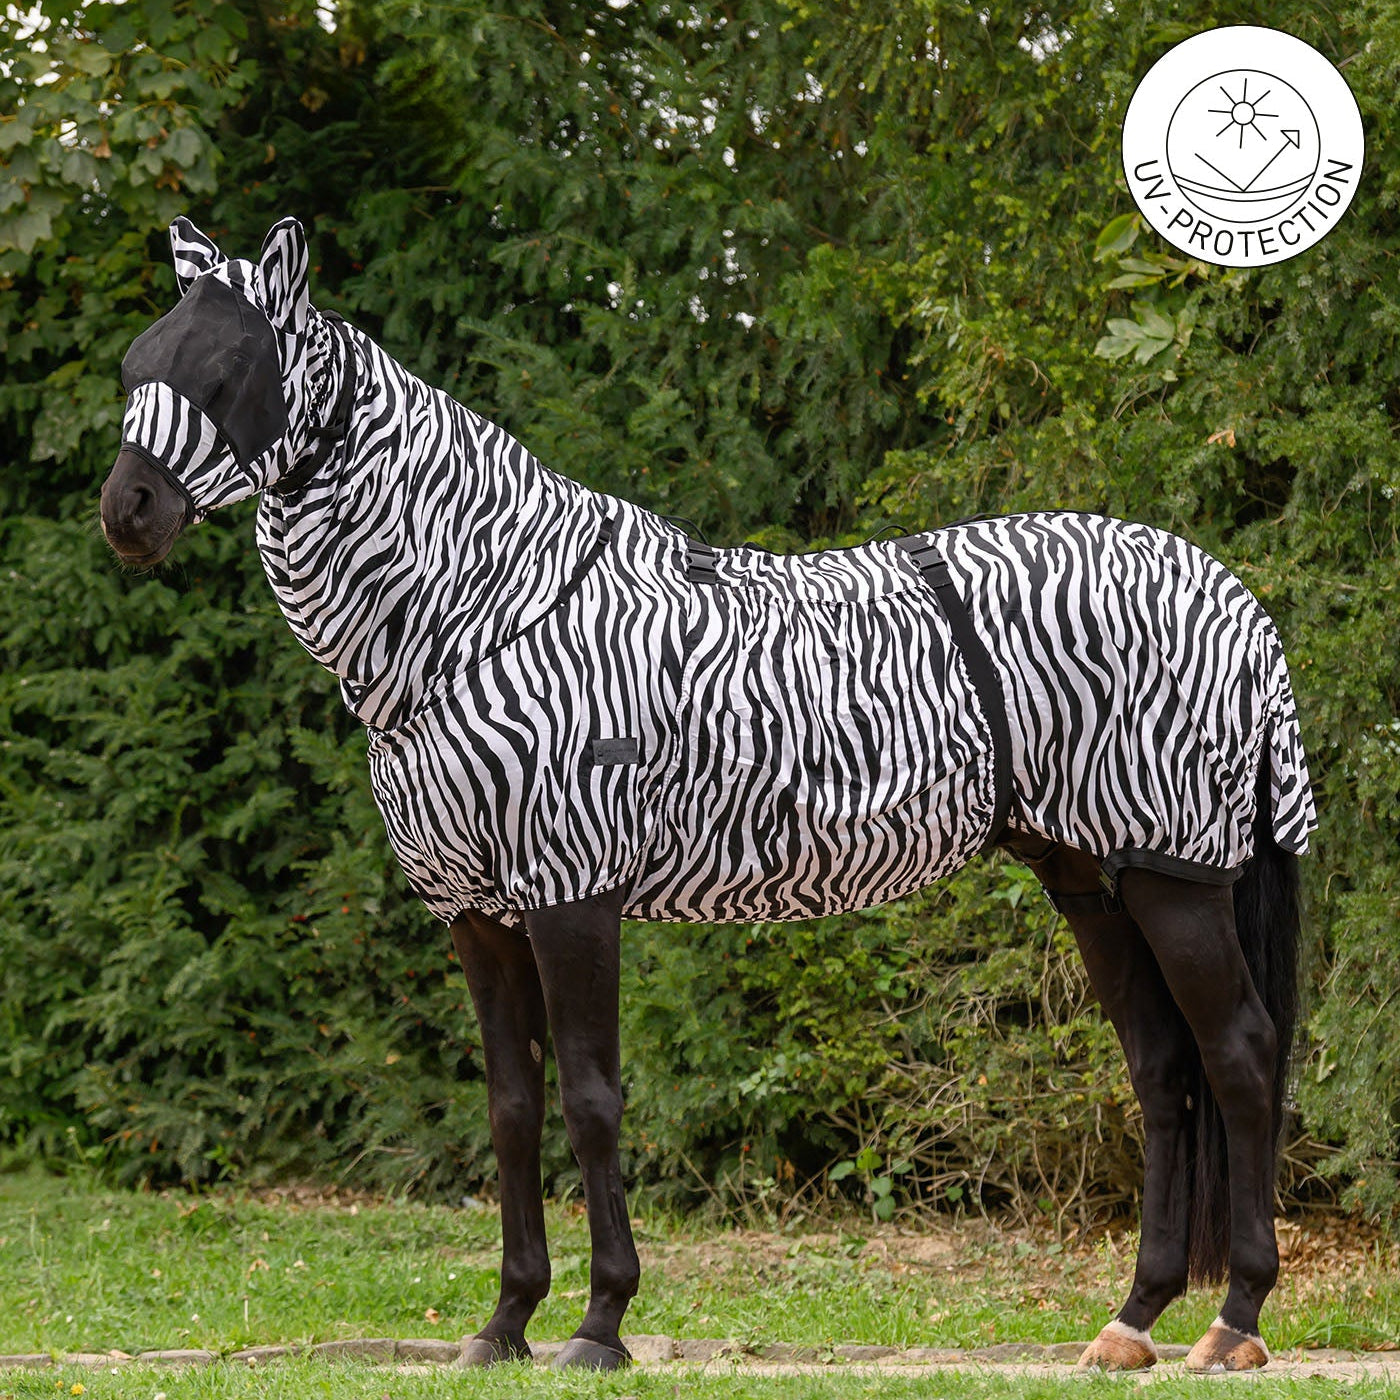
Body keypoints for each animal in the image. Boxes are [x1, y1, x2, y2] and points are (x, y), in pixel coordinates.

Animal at [100, 216, 1317, 1374]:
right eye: (135, 364)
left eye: (228, 370)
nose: (128, 513)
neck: (481, 611)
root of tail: (1231, 596)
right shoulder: (477, 917)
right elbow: (510, 1111)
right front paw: (504, 1323)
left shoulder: (572, 892)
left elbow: (591, 1100)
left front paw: (600, 1323)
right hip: (1091, 875)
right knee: (1161, 1067)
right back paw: (1133, 1319)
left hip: (1173, 877)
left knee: (1241, 1054)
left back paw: (1233, 1318)